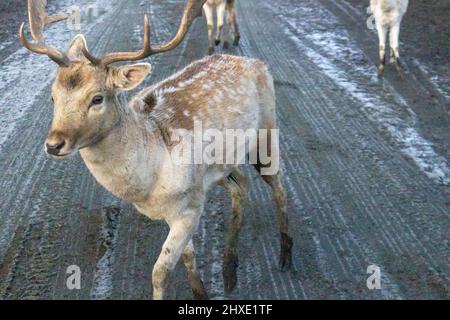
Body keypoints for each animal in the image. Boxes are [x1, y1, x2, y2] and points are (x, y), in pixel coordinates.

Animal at [21, 0, 294, 300]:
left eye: (97, 98)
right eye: (53, 96)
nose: (54, 144)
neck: (149, 183)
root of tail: (256, 62)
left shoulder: (189, 207)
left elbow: (159, 272)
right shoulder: (181, 203)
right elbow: (187, 257)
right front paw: (202, 295)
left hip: (266, 132)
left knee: (278, 186)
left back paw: (285, 256)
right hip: (222, 166)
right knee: (242, 185)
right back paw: (229, 272)